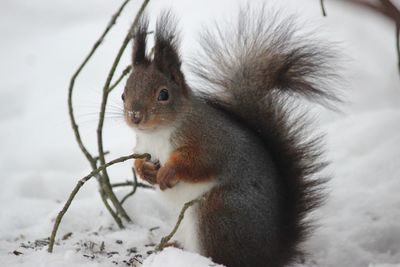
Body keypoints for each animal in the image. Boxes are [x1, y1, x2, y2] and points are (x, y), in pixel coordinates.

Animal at [122, 5, 338, 267]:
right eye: (123, 95)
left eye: (163, 95)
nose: (134, 117)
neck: (158, 134)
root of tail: (270, 255)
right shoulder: (143, 144)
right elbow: (138, 157)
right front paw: (141, 170)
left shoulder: (210, 141)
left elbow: (198, 164)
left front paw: (167, 172)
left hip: (216, 212)